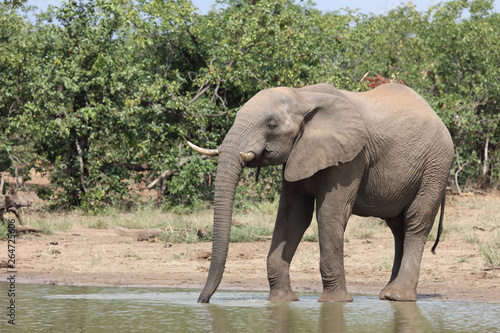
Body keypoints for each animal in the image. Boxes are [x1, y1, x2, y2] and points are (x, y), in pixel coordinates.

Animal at [189, 82, 456, 300]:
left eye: (271, 125)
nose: (203, 300)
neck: (303, 96)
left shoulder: (352, 156)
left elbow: (329, 213)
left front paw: (335, 302)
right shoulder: (298, 153)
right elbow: (292, 216)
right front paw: (282, 300)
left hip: (435, 166)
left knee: (415, 222)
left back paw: (397, 297)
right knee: (397, 227)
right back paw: (386, 294)